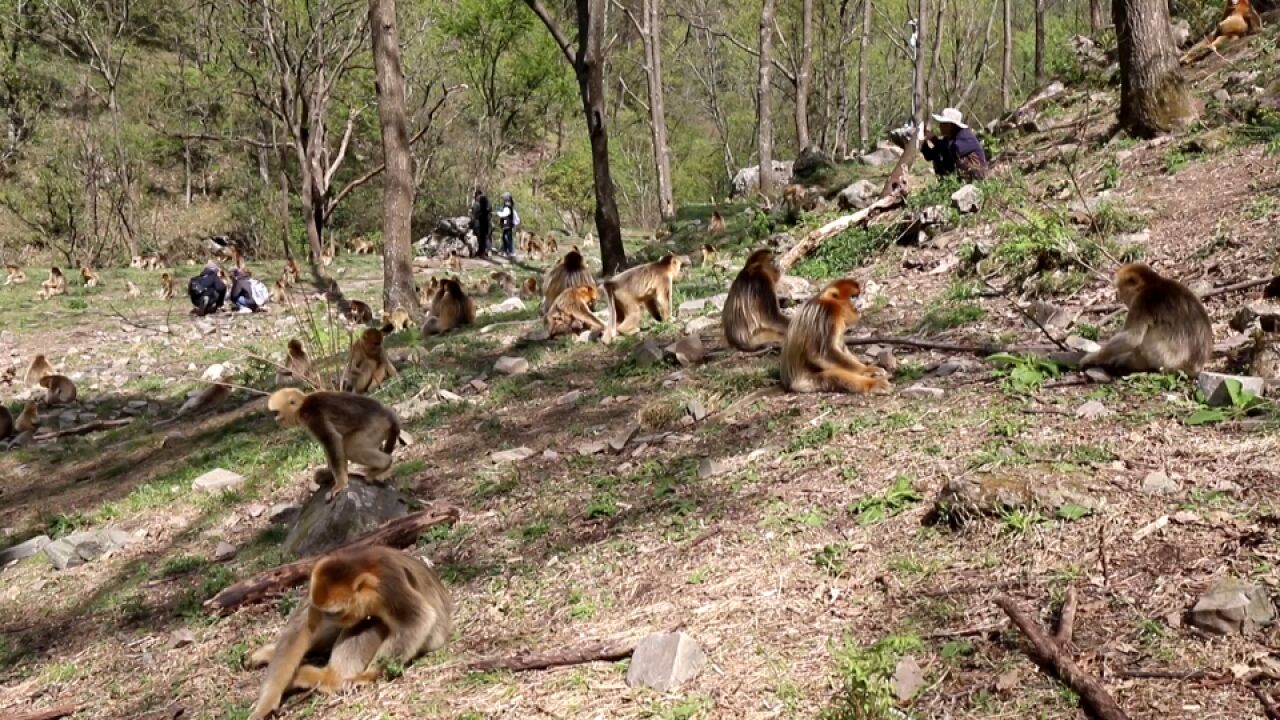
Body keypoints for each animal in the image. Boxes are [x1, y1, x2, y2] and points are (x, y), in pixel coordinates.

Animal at [245, 543, 455, 717]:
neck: (364, 566)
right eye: (324, 611)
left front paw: (366, 676)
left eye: (336, 611)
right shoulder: (315, 588)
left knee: (371, 622)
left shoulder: (388, 583)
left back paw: (327, 677)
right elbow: (298, 632)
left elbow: (419, 619)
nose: (326, 617)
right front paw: (266, 703)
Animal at [263, 386, 394, 499]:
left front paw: (340, 483)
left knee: (350, 447)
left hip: (375, 426)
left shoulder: (313, 416)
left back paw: (385, 464)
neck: (302, 406)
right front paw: (329, 475)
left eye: (276, 412)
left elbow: (331, 439)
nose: (275, 419)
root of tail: (386, 413)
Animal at [1080, 263, 1208, 376]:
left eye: (1120, 290)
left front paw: (1093, 357)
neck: (1151, 283)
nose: (1118, 295)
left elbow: (1132, 338)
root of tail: (1194, 367)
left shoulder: (1141, 302)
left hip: (1163, 360)